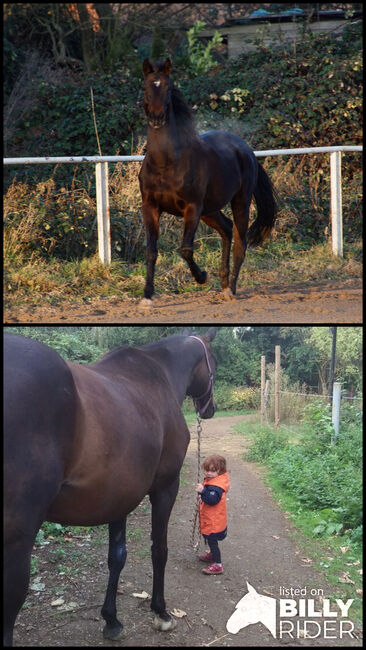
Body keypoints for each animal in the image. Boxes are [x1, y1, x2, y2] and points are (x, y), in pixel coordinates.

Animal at [3, 330, 217, 644]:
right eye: (214, 359)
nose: (210, 408)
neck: (159, 375)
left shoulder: (119, 497)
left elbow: (117, 557)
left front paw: (111, 620)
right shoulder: (166, 488)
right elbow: (159, 549)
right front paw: (161, 612)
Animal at [139, 58, 276, 306]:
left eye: (168, 87)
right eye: (145, 87)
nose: (156, 118)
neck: (166, 162)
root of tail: (246, 149)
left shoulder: (192, 208)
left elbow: (185, 249)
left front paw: (202, 277)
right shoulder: (150, 208)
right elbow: (151, 251)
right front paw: (147, 296)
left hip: (239, 203)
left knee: (240, 243)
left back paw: (231, 289)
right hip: (210, 211)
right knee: (227, 229)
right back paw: (223, 283)